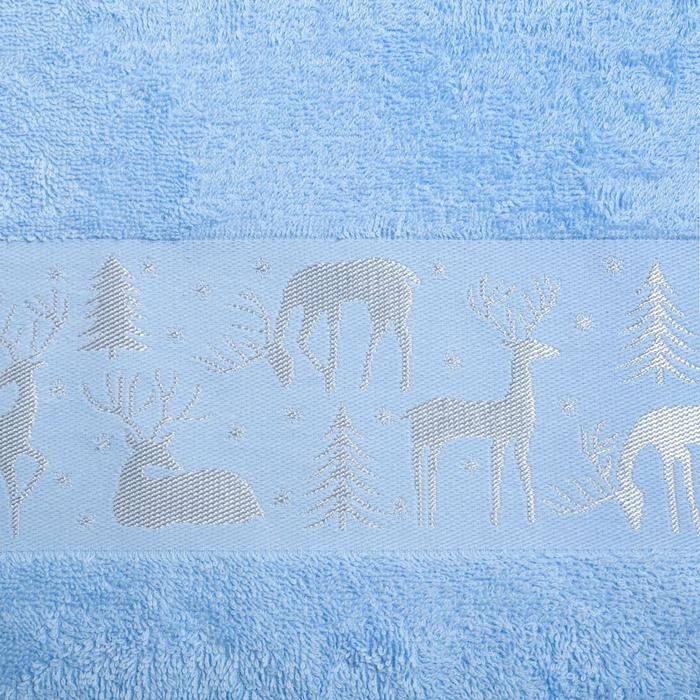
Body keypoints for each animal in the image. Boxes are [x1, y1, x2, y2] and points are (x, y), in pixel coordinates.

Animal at [0, 290, 68, 535]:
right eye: (10, 368)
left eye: (19, 370)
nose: (1, 380)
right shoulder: (7, 456)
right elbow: (13, 489)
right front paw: (15, 524)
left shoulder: (23, 450)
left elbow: (42, 463)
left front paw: (16, 520)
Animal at [200, 258, 419, 392]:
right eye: (272, 364)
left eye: (278, 361)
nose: (285, 383)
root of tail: (408, 275)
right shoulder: (314, 307)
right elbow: (302, 339)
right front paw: (327, 373)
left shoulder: (326, 304)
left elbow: (328, 333)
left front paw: (328, 371)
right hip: (390, 312)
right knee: (395, 337)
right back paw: (381, 382)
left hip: (385, 309)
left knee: (392, 337)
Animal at [406, 277, 560, 528]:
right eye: (533, 345)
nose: (555, 350)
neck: (514, 403)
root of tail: (411, 411)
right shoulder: (499, 437)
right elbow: (497, 473)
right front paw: (498, 518)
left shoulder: (520, 440)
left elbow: (523, 472)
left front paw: (528, 516)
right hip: (429, 438)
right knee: (422, 465)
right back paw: (426, 517)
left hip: (427, 439)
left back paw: (425, 517)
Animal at [549, 406, 700, 535]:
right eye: (622, 505)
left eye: (627, 503)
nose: (635, 526)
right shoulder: (672, 449)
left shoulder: (669, 449)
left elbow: (673, 484)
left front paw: (682, 526)